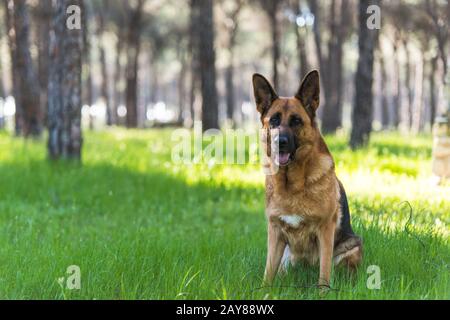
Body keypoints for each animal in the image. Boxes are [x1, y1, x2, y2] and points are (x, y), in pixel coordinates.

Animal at [253, 71, 362, 288]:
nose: (280, 142)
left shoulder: (325, 230)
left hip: (352, 245)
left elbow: (324, 272)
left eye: (296, 121)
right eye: (274, 120)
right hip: (285, 257)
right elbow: (268, 273)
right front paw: (264, 291)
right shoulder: (275, 232)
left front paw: (323, 292)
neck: (292, 185)